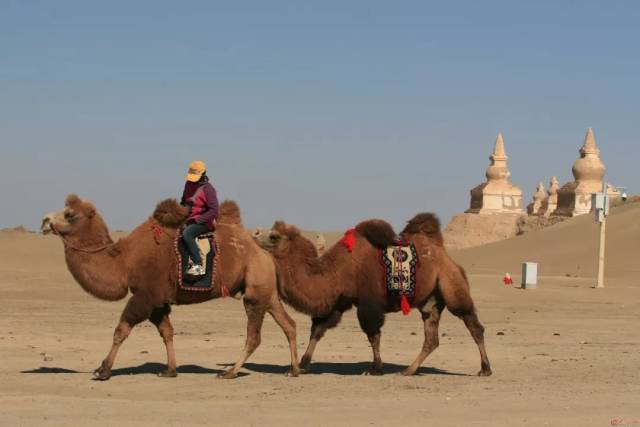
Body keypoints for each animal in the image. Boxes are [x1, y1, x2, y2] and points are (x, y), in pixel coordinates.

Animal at [41, 196, 302, 380]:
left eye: (69, 214)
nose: (44, 221)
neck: (124, 261)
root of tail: (265, 255)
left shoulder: (145, 295)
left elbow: (121, 330)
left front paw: (102, 370)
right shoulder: (159, 301)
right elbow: (167, 332)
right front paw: (170, 370)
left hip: (255, 292)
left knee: (253, 336)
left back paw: (229, 372)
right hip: (267, 292)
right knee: (289, 325)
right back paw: (294, 370)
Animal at [252, 214, 492, 378]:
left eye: (273, 236)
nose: (254, 236)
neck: (336, 271)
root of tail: (444, 254)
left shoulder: (368, 301)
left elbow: (372, 334)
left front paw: (375, 368)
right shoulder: (339, 302)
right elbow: (318, 330)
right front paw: (302, 365)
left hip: (451, 285)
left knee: (473, 324)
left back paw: (485, 369)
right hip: (431, 300)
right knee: (431, 337)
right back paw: (409, 370)